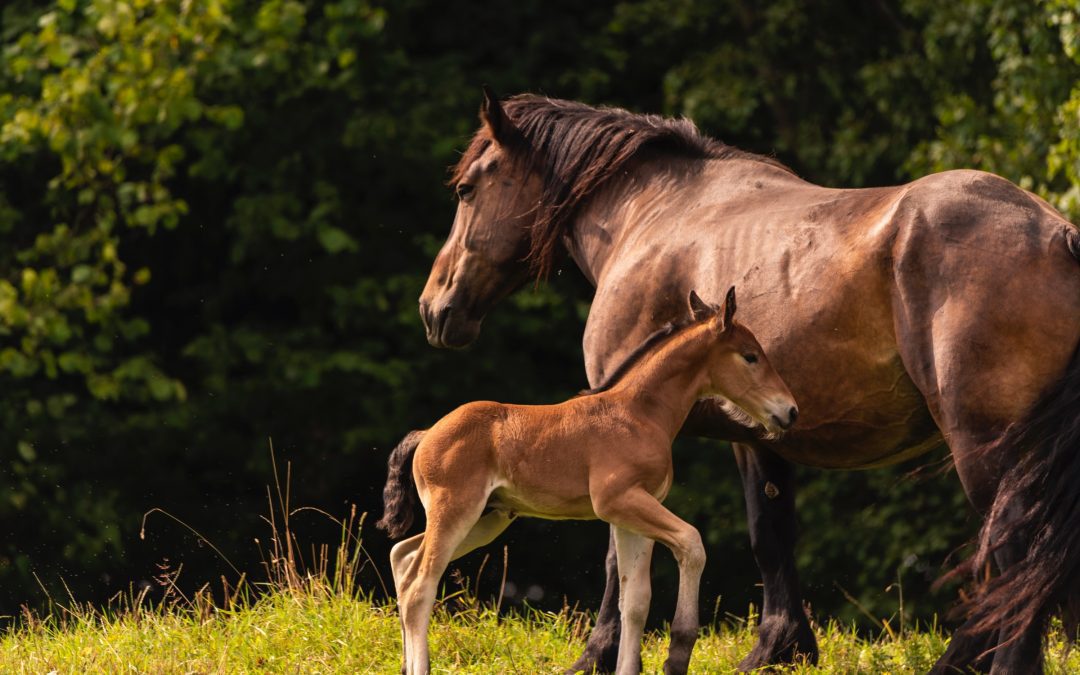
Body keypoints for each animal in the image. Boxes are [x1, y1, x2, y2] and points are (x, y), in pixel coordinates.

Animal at [378, 287, 794, 673]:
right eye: (750, 356)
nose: (789, 411)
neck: (639, 414)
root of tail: (426, 433)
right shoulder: (618, 501)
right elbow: (692, 543)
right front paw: (678, 654)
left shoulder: (633, 516)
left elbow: (635, 601)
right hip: (457, 510)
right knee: (420, 584)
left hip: (486, 518)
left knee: (402, 557)